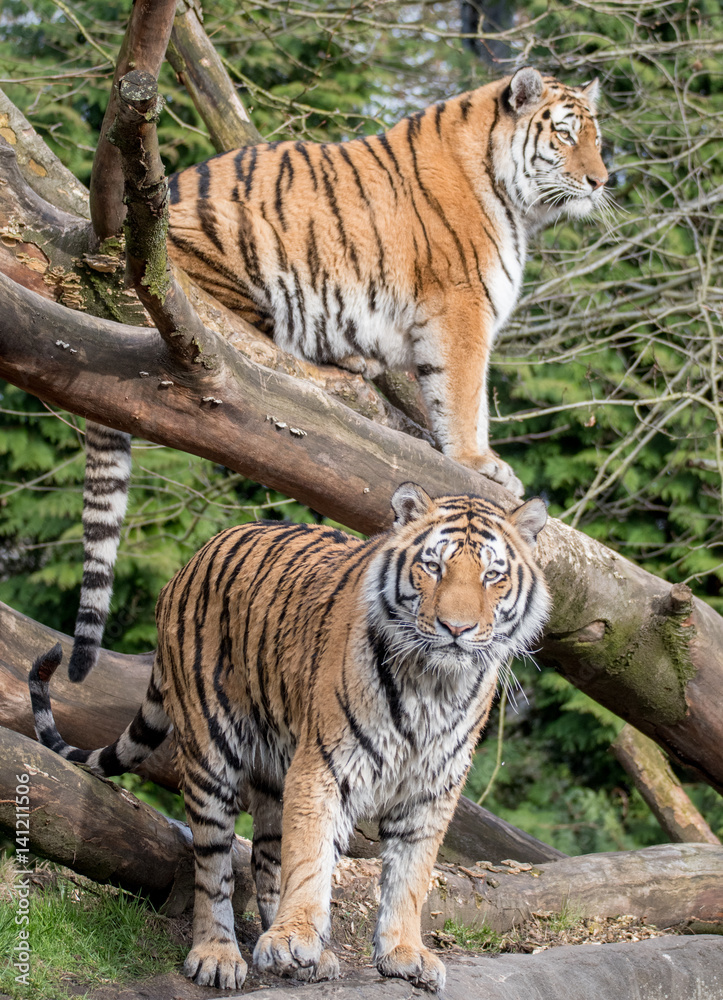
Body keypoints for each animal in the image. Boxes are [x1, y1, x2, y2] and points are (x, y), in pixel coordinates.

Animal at [30, 483, 551, 992]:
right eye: (433, 567)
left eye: (493, 576)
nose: (456, 629)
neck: (433, 685)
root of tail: (189, 564)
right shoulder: (326, 766)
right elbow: (312, 857)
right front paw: (294, 937)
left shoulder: (432, 787)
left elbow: (411, 873)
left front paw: (404, 953)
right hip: (211, 752)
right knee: (213, 864)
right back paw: (218, 955)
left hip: (276, 764)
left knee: (266, 859)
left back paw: (303, 957)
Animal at [68, 65, 605, 684]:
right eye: (565, 134)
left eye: (597, 138)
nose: (599, 181)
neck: (511, 196)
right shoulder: (462, 303)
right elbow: (465, 391)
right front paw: (480, 463)